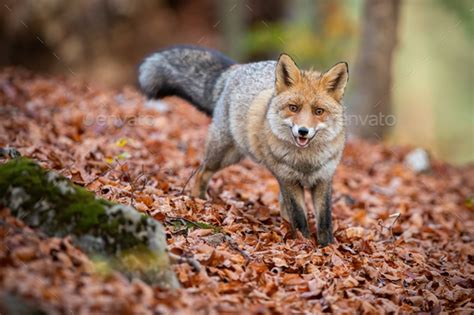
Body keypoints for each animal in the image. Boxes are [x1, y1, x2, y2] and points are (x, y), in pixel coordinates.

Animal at [139, 46, 346, 247]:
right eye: (293, 108)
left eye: (318, 111)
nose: (303, 131)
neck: (306, 162)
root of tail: (237, 68)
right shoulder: (288, 180)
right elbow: (300, 218)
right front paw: (305, 244)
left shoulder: (323, 179)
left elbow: (325, 222)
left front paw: (326, 247)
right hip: (224, 155)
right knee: (202, 172)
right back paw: (198, 200)